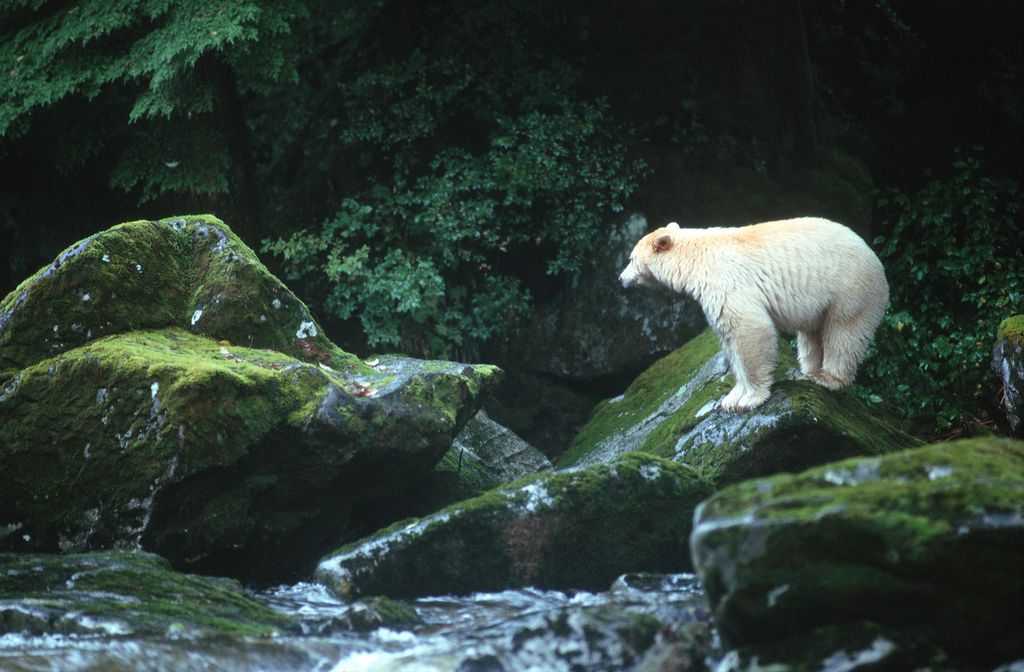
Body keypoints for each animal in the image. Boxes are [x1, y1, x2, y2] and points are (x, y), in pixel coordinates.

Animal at [619, 217, 889, 412]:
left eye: (630, 259)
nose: (621, 279)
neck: (696, 257)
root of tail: (875, 258)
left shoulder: (726, 282)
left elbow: (749, 329)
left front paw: (749, 400)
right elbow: (729, 340)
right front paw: (731, 398)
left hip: (850, 288)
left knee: (844, 331)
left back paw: (827, 378)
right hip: (820, 304)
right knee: (811, 334)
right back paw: (808, 372)